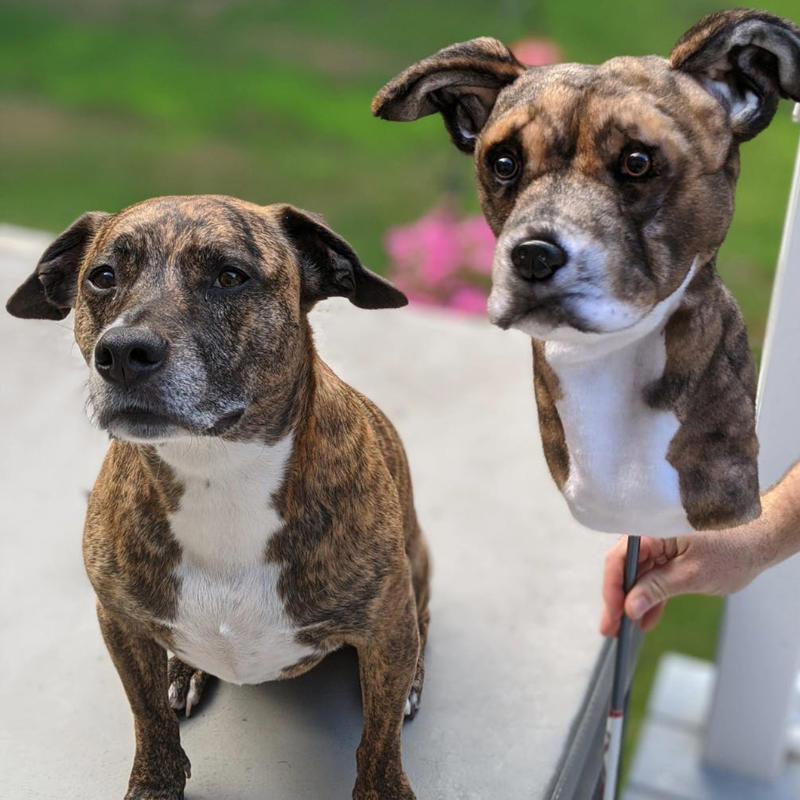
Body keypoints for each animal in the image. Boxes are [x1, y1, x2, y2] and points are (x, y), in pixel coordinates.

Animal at [6, 195, 432, 800]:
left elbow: (379, 743)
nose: (122, 351)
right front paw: (155, 784)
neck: (216, 470)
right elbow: (149, 720)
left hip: (416, 567)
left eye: (230, 276)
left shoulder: (387, 626)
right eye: (102, 277)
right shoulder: (120, 624)